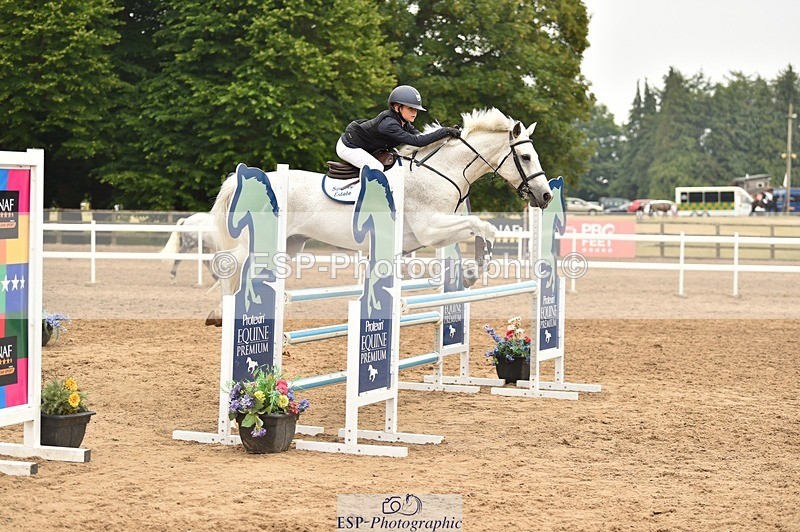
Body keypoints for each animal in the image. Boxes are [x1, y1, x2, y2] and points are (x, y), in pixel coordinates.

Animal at [206, 108, 553, 325]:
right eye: (525, 156)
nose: (545, 196)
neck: (442, 172)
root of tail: (241, 181)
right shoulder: (431, 229)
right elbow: (481, 225)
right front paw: (470, 275)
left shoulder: (436, 234)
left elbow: (484, 230)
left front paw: (470, 273)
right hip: (255, 243)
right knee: (229, 266)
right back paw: (220, 313)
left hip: (290, 244)